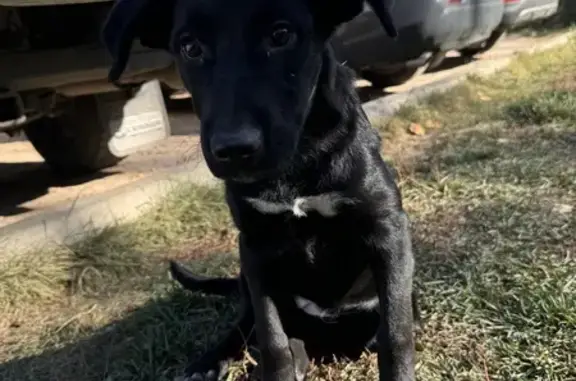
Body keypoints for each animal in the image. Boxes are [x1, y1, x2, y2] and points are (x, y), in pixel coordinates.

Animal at [104, 1, 418, 378]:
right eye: (190, 47)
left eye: (281, 35)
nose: (234, 149)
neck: (295, 165)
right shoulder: (256, 249)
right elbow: (272, 339)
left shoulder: (387, 229)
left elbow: (395, 332)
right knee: (251, 325)